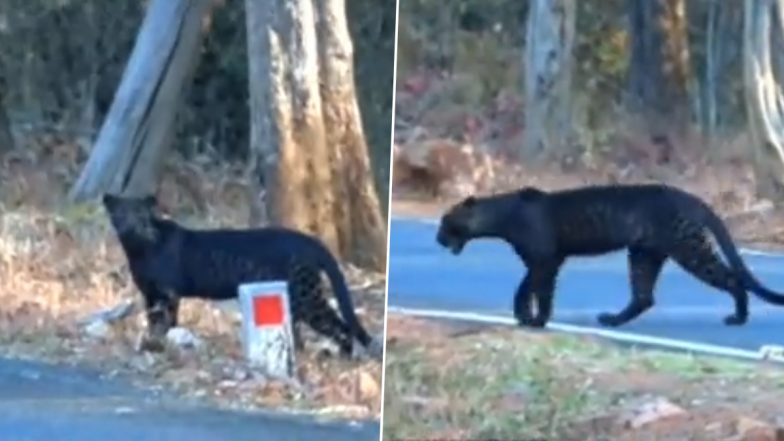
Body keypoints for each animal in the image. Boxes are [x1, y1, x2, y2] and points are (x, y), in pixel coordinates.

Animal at [102, 194, 382, 360]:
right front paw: (153, 344)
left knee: (340, 325)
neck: (138, 249)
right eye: (121, 214)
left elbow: (166, 321)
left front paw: (160, 345)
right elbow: (153, 321)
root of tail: (311, 241)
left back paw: (344, 357)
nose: (132, 226)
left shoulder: (167, 294)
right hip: (297, 300)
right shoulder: (150, 294)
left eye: (140, 214)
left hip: (306, 297)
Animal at [438, 181, 784, 326]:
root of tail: (690, 197)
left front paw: (534, 320)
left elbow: (536, 289)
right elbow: (529, 287)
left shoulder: (545, 259)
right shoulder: (543, 261)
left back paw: (738, 318)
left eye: (445, 221)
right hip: (644, 254)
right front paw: (527, 316)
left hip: (689, 249)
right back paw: (612, 320)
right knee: (643, 296)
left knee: (732, 279)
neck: (501, 216)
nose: (438, 238)